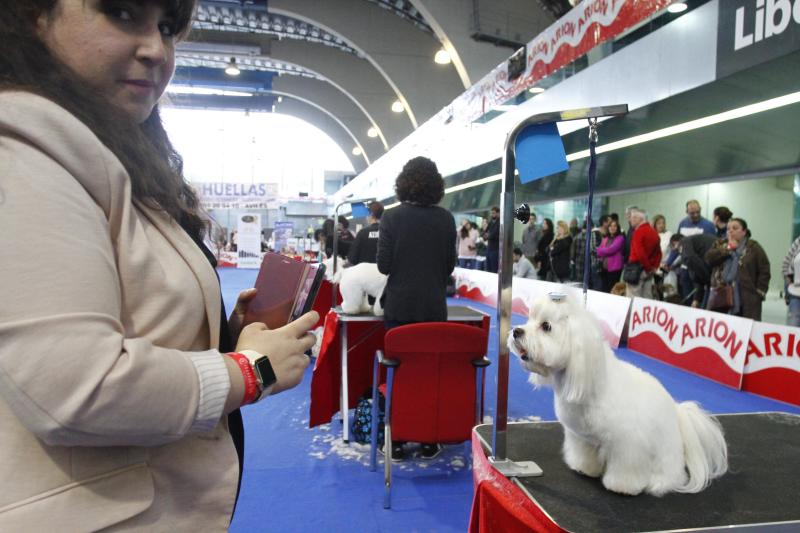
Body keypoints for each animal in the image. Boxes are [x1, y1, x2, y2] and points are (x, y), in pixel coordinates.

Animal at [510, 290, 728, 494]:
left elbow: (626, 469)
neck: (593, 384)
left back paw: (659, 482)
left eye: (546, 326)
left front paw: (622, 486)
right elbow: (585, 454)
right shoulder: (583, 438)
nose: (517, 331)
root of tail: (677, 412)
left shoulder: (629, 445)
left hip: (665, 455)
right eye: (529, 319)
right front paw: (584, 468)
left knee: (670, 475)